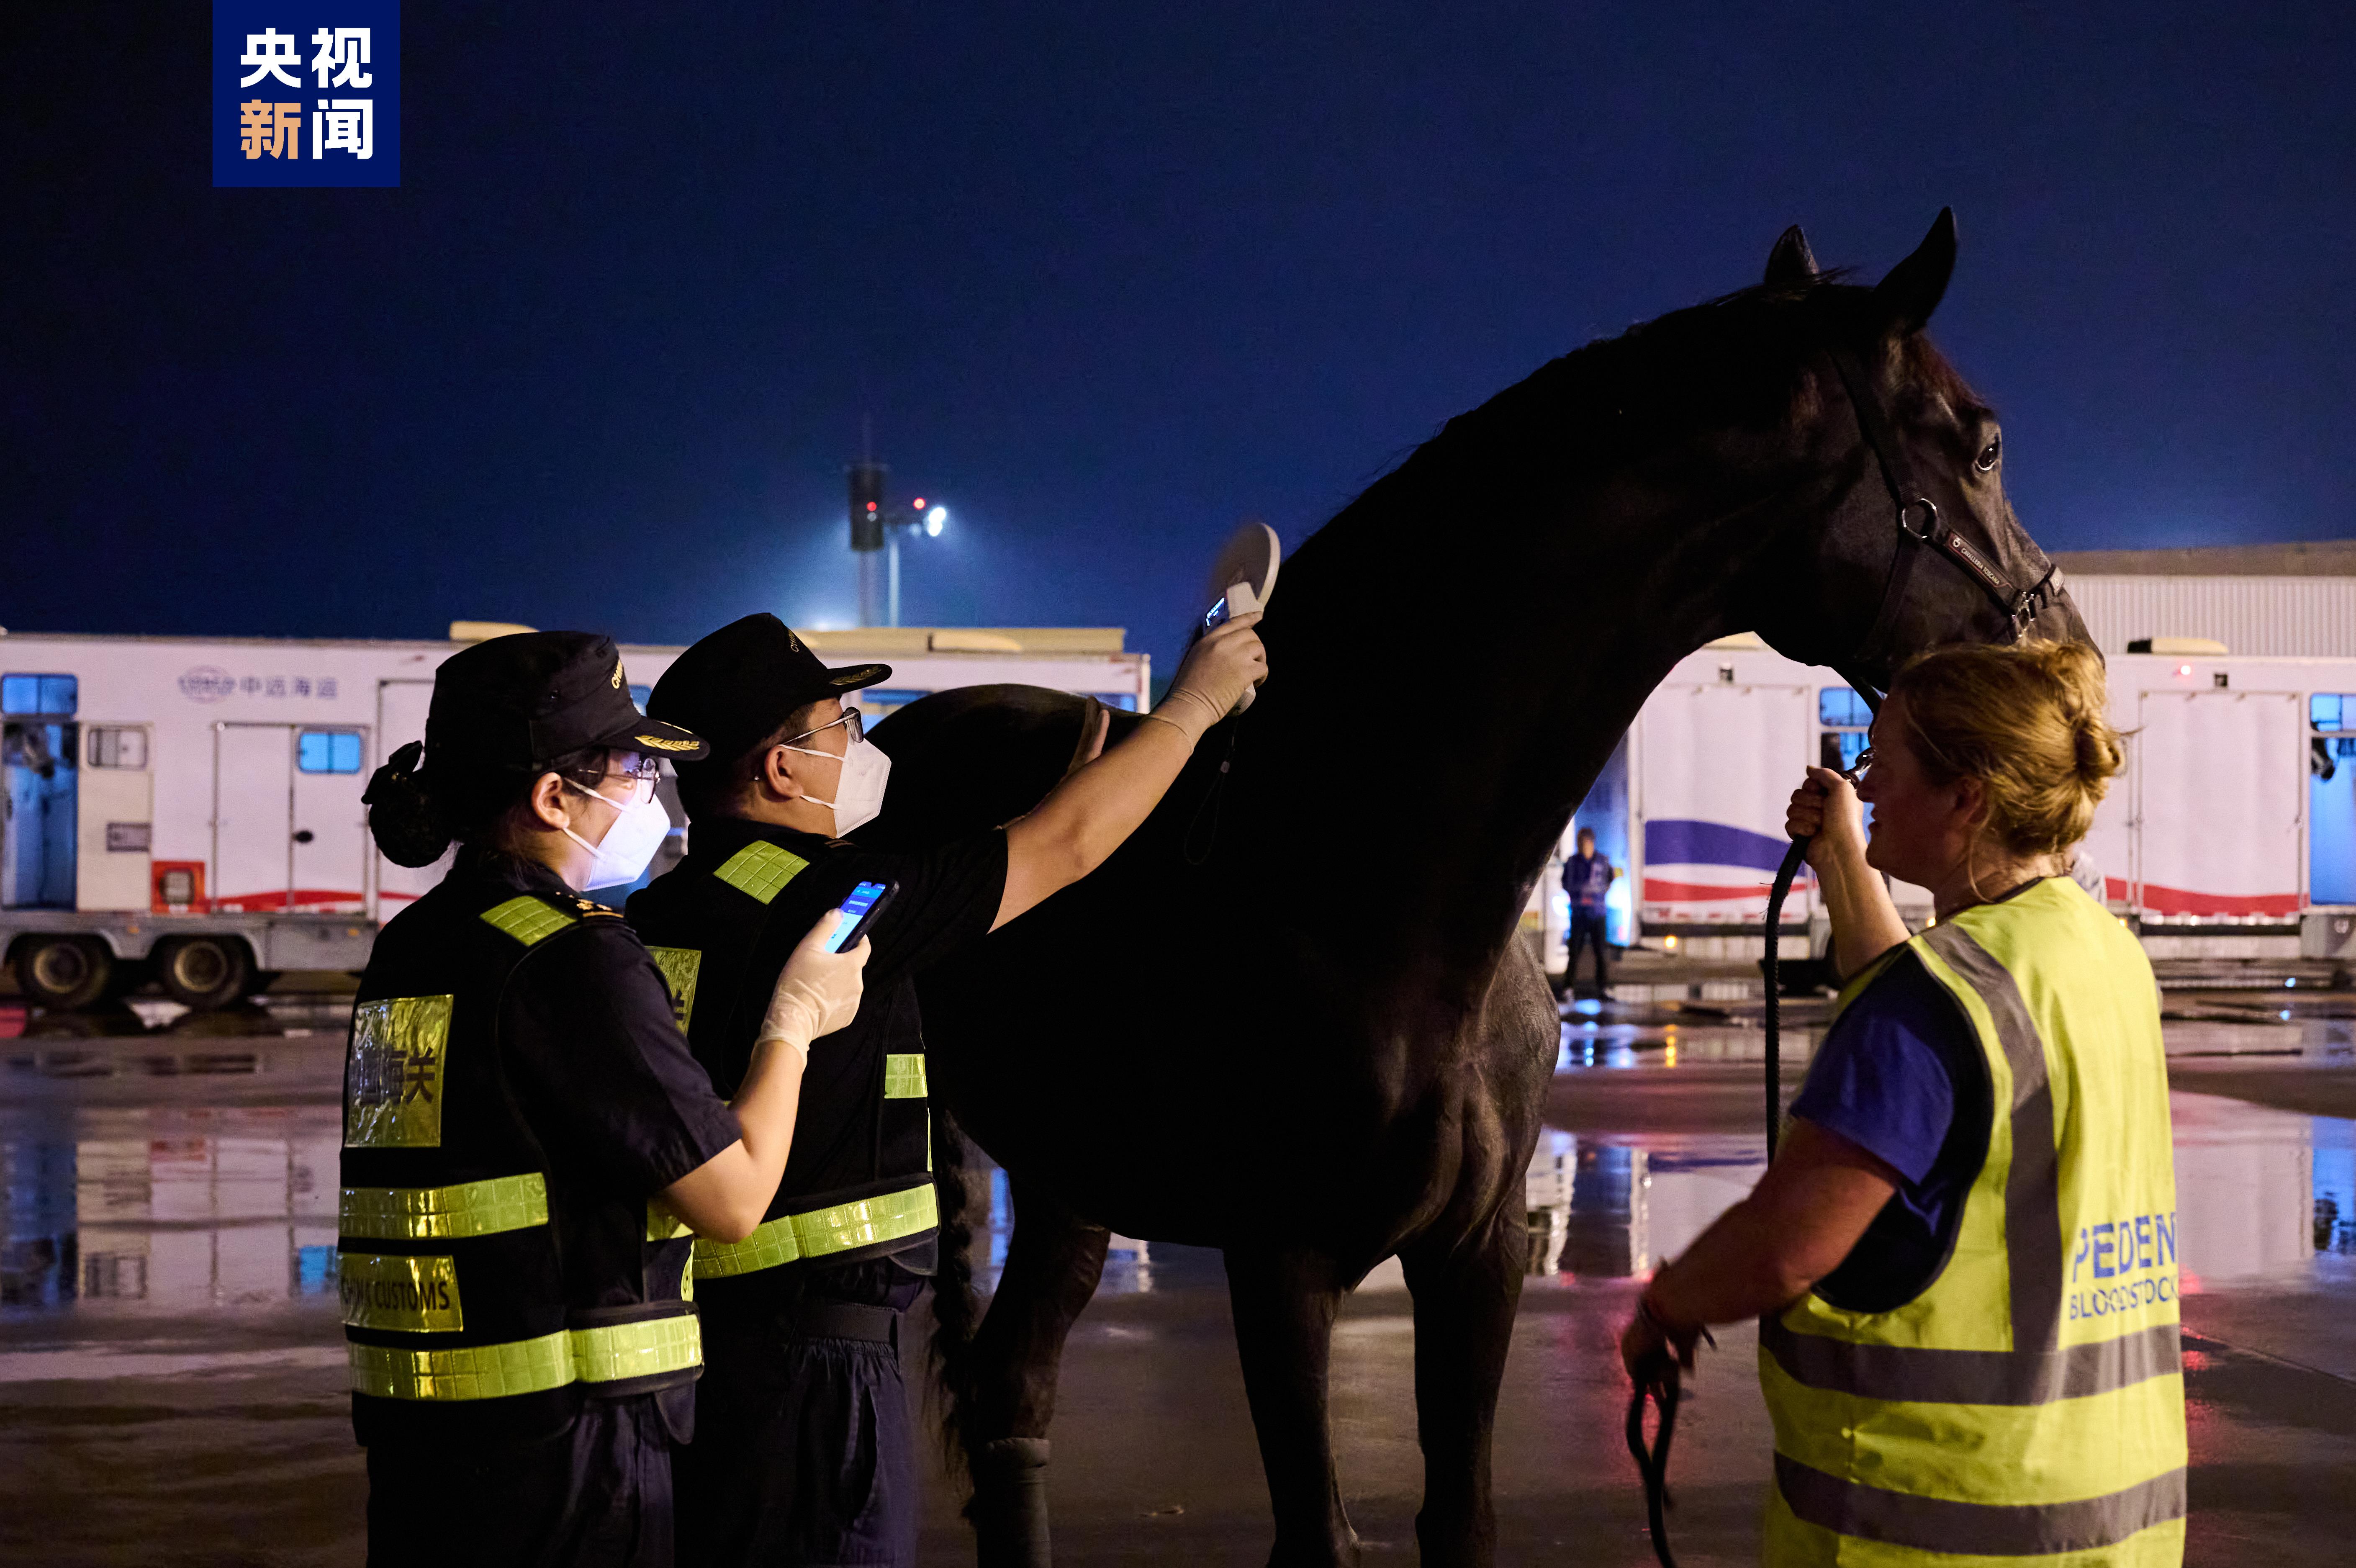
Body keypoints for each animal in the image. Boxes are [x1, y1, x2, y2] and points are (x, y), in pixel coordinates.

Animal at [861, 212, 2090, 1568]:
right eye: (1982, 442)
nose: (2074, 662)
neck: (1360, 881)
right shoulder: (1279, 1263)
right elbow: (1317, 1531)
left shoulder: (1477, 1256)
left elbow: (1462, 1516)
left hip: (1070, 1180)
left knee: (1013, 1393)